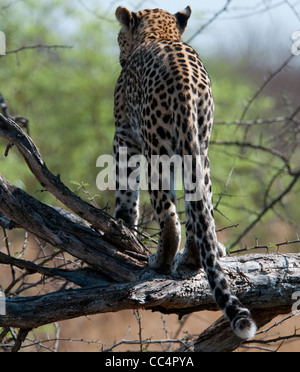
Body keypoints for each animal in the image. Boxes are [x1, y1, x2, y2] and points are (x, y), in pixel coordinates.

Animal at [113, 5, 256, 340]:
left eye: (119, 37)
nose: (119, 56)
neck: (159, 32)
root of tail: (183, 79)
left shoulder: (124, 134)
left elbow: (125, 187)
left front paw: (122, 222)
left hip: (156, 147)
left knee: (169, 216)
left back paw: (161, 261)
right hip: (200, 148)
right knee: (201, 212)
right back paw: (196, 255)